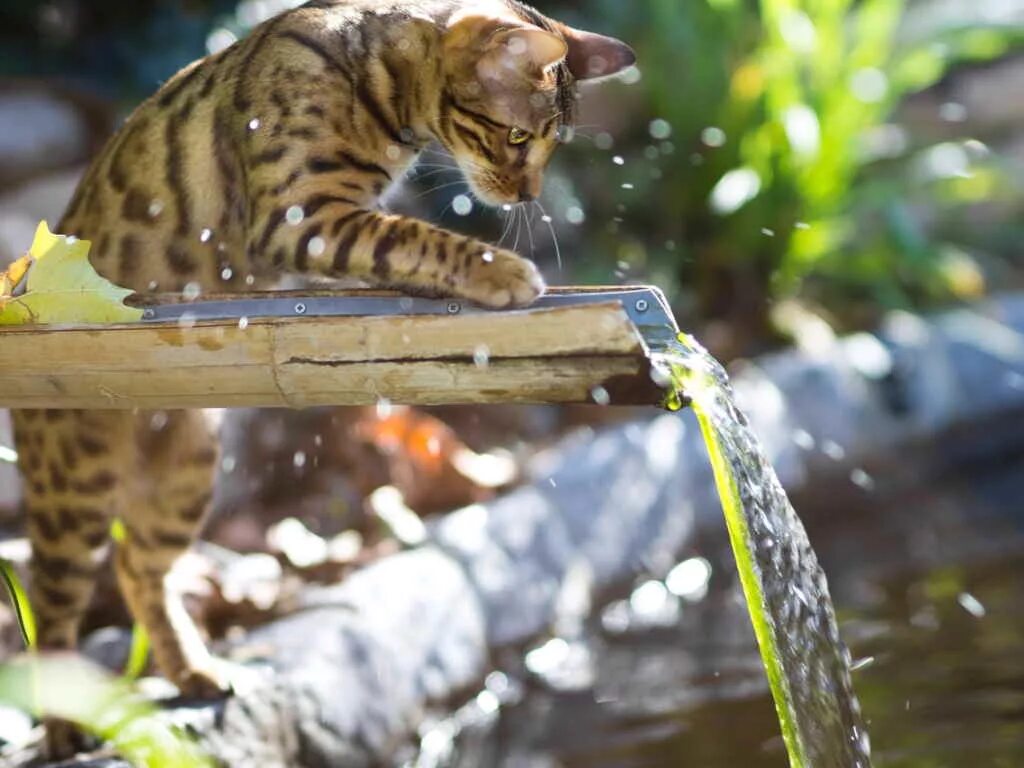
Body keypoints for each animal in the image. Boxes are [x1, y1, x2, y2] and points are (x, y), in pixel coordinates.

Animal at [6, 0, 630, 757]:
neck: (378, 85)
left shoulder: (330, 222)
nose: (532, 193)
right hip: (76, 487)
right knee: (51, 609)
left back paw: (192, 670)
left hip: (185, 471)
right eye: (517, 135)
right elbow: (409, 235)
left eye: (551, 143)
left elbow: (398, 247)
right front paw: (499, 269)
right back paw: (67, 727)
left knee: (138, 568)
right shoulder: (300, 216)